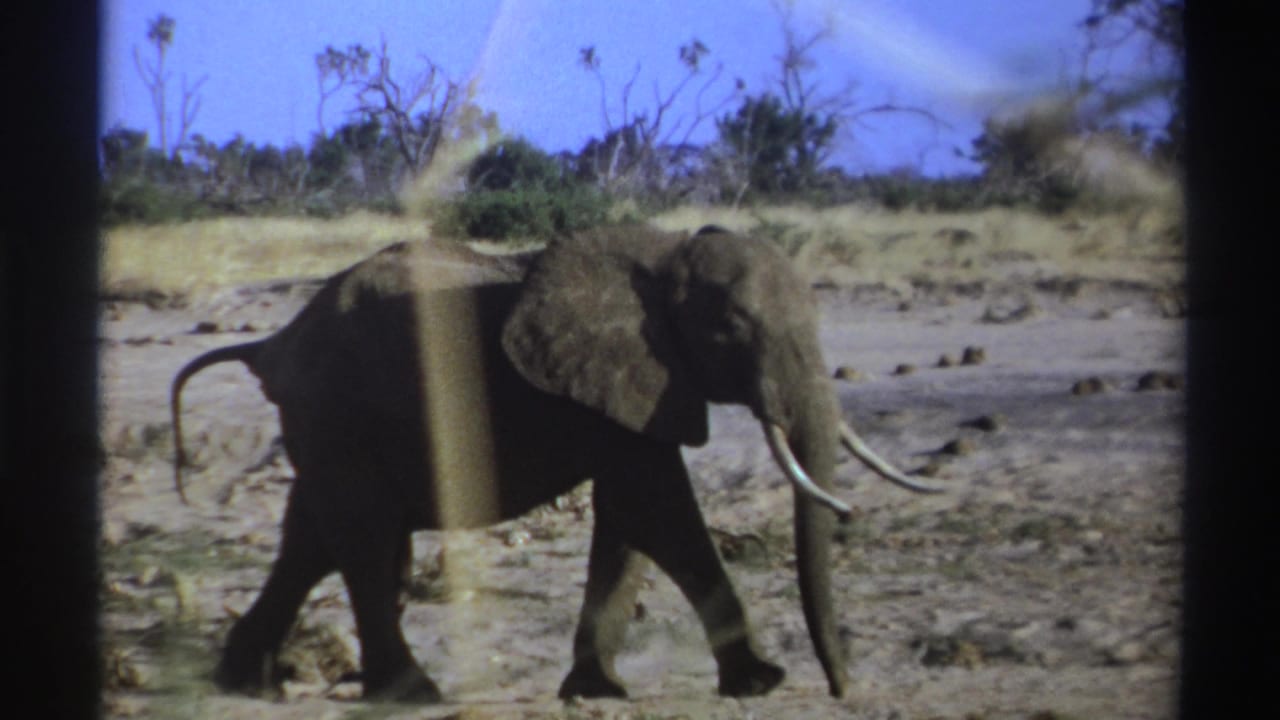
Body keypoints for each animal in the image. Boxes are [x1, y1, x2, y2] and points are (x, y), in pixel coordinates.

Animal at [170, 224, 943, 703]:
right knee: (360, 539)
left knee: (311, 538)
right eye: (731, 331)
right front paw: (761, 682)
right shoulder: (622, 381)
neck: (668, 253)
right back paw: (414, 695)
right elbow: (661, 510)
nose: (843, 689)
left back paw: (245, 683)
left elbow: (630, 519)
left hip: (328, 426)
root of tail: (271, 343)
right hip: (341, 414)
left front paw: (598, 690)